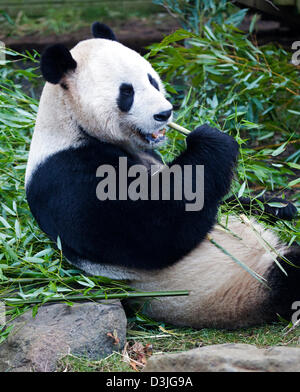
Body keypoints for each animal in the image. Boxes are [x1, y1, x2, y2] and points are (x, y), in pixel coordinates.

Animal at [24, 21, 298, 328]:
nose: (165, 113)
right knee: (288, 275)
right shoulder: (64, 175)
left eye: (152, 80)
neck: (70, 121)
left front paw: (279, 206)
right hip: (241, 284)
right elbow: (153, 230)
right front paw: (211, 140)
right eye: (127, 92)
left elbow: (212, 195)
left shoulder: (151, 156)